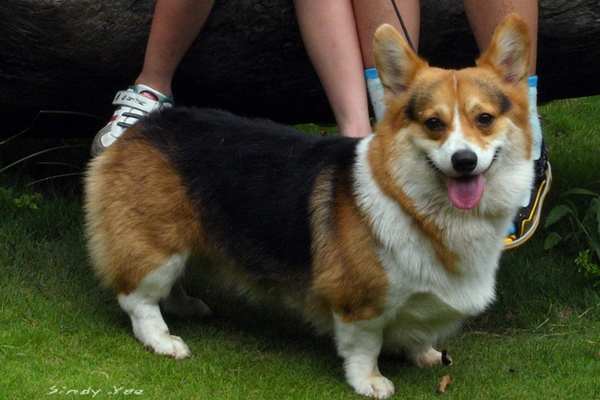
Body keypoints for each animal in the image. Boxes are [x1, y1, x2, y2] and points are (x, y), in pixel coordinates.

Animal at [85, 14, 536, 398]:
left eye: (483, 119)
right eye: (433, 123)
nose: (464, 161)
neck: (418, 205)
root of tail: (142, 126)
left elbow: (420, 333)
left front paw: (422, 353)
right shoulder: (359, 302)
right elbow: (364, 346)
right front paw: (370, 382)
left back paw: (186, 306)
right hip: (158, 243)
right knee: (138, 299)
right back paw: (164, 340)